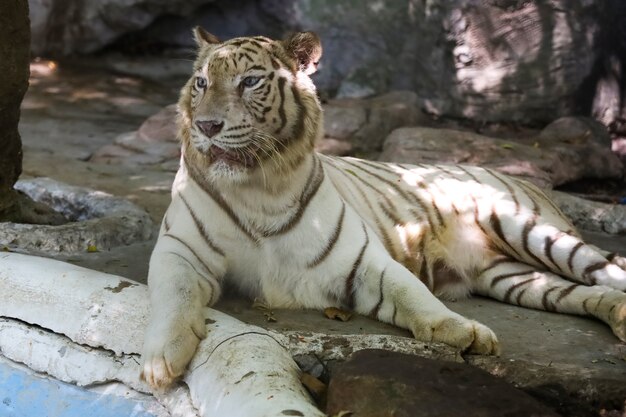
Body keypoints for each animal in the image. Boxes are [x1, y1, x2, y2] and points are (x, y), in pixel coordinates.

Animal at [141, 28, 624, 386]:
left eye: (250, 82)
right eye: (201, 83)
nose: (206, 126)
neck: (259, 188)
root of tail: (523, 177)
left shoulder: (359, 260)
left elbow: (412, 292)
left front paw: (463, 331)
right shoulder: (180, 250)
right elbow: (174, 296)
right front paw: (160, 360)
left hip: (528, 230)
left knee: (605, 270)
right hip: (512, 276)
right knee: (583, 292)